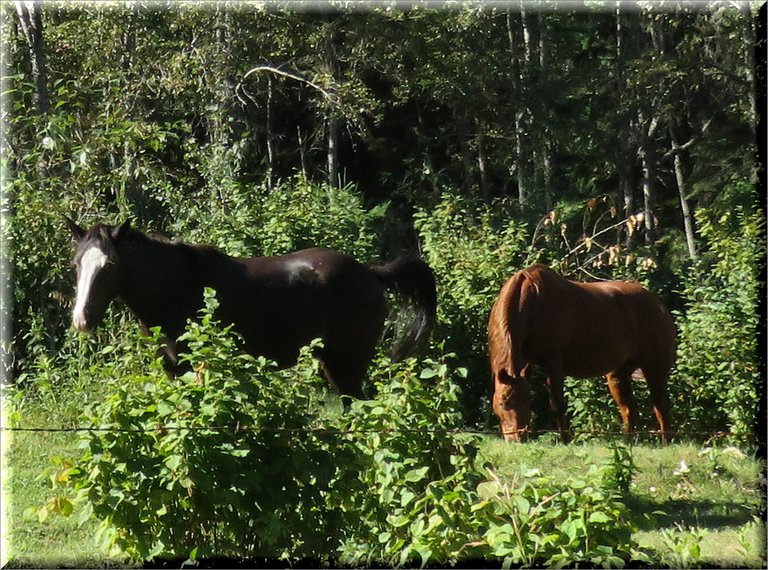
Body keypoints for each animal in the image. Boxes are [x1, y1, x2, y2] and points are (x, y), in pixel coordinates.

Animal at [64, 215, 438, 398]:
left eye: (109, 266)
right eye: (77, 263)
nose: (82, 319)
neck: (177, 288)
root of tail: (371, 273)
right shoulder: (173, 371)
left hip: (349, 363)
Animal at [488, 264, 676, 442]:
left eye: (528, 401)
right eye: (502, 403)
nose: (518, 438)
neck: (531, 302)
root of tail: (660, 306)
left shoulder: (554, 366)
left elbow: (557, 405)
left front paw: (566, 441)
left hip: (654, 370)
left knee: (661, 406)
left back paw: (665, 441)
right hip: (618, 374)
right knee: (629, 409)